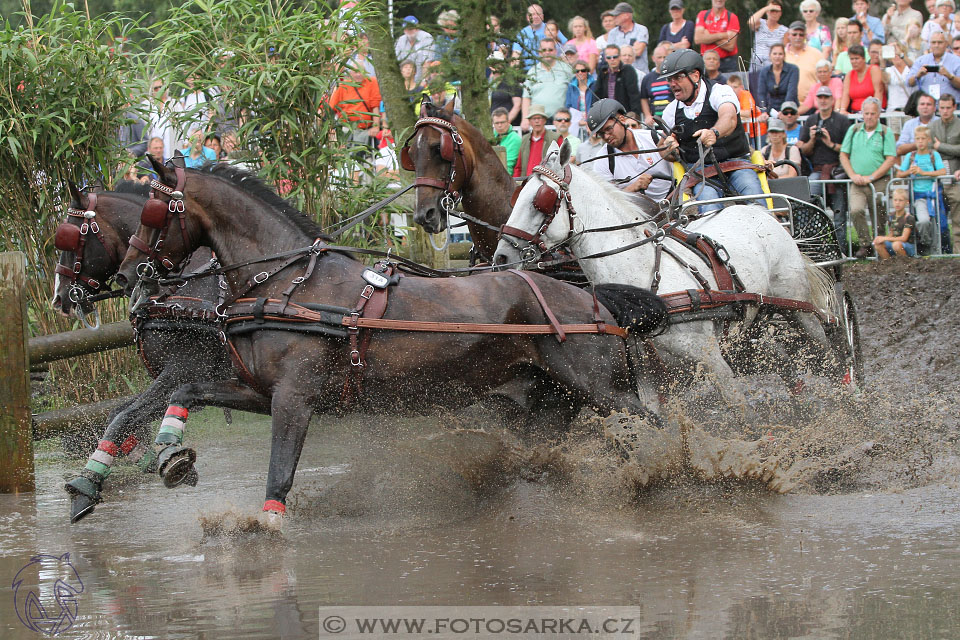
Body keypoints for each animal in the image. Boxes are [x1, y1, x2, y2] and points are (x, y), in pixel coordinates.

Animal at [110, 159, 652, 520]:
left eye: (155, 213)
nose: (128, 275)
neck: (287, 283)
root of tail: (593, 298)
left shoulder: (294, 397)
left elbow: (279, 472)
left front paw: (265, 528)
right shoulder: (261, 391)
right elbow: (185, 391)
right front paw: (169, 457)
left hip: (600, 387)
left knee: (650, 420)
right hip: (552, 399)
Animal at [496, 141, 848, 410]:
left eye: (541, 200)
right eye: (516, 196)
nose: (501, 257)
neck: (645, 282)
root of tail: (760, 211)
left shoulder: (711, 359)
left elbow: (740, 412)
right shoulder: (647, 374)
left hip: (799, 311)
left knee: (828, 357)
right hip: (754, 319)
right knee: (785, 362)